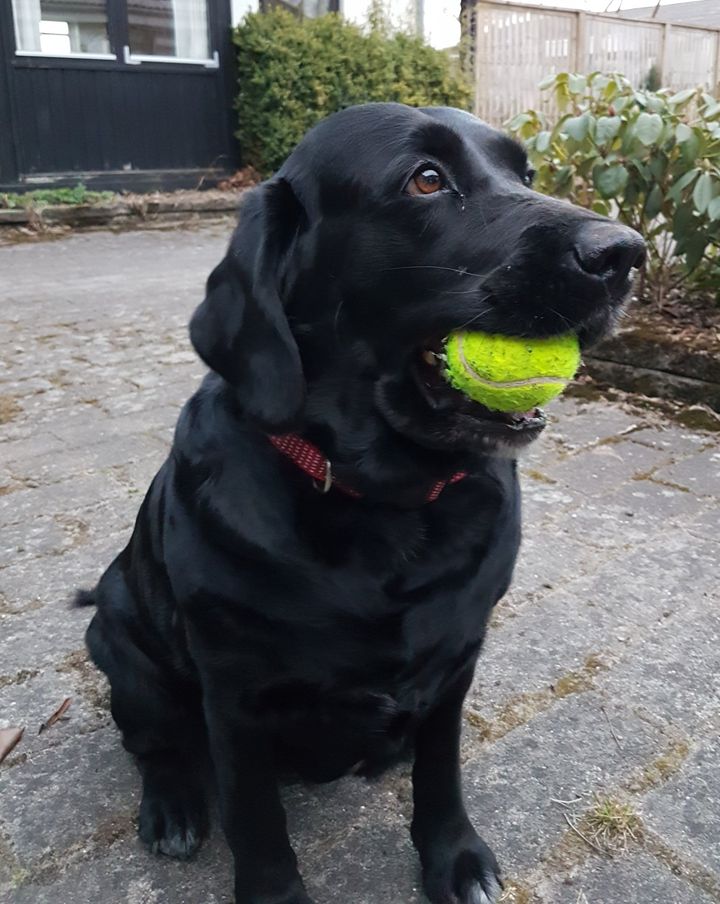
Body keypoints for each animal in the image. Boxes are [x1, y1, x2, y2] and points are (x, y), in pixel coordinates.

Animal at [81, 102, 644, 900]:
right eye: (426, 179)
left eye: (527, 173)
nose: (625, 254)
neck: (387, 503)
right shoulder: (234, 697)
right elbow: (255, 819)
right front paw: (273, 891)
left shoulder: (457, 660)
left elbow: (441, 773)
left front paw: (453, 858)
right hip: (119, 641)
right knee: (153, 744)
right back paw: (171, 809)